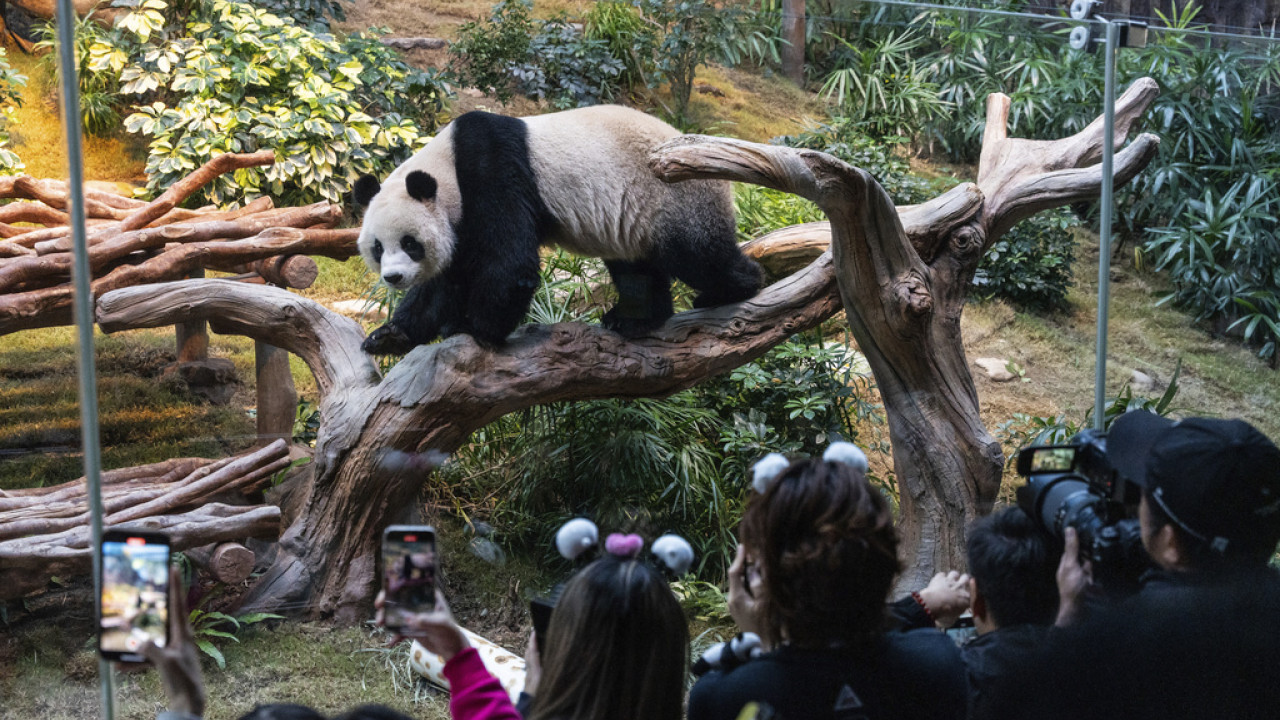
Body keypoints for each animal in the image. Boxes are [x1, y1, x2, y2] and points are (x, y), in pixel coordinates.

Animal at [353, 103, 757, 353]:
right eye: (377, 247)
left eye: (410, 243)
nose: (393, 277)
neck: (446, 165)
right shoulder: (462, 221)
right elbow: (448, 279)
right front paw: (389, 336)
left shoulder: (494, 170)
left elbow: (511, 261)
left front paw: (471, 327)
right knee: (635, 269)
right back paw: (633, 319)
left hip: (674, 198)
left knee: (698, 255)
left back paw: (733, 288)